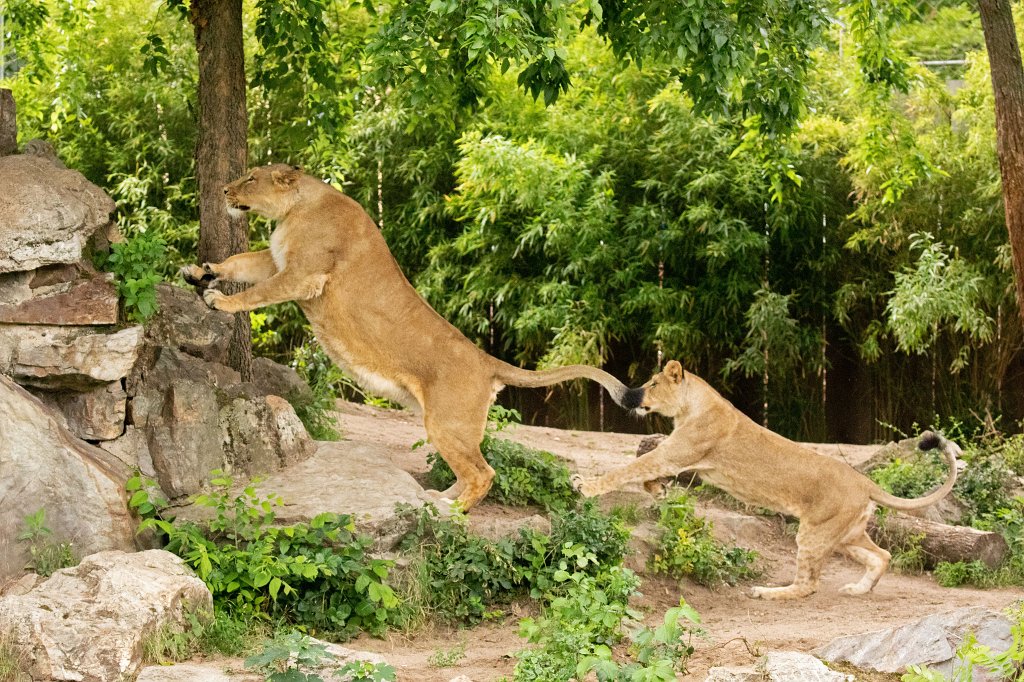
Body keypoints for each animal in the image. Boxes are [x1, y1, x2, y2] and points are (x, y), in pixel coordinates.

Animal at [180, 163, 632, 510]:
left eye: (250, 178)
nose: (223, 190)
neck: (296, 208)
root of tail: (487, 360)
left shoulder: (302, 274)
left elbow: (256, 292)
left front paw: (220, 301)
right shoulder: (277, 261)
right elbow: (238, 262)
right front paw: (200, 271)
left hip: (448, 423)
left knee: (484, 472)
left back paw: (452, 511)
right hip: (448, 426)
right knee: (470, 469)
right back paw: (440, 497)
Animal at [573, 360, 960, 600]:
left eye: (653, 383)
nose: (634, 397)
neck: (690, 406)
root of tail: (864, 482)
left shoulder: (678, 452)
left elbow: (629, 468)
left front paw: (585, 486)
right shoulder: (682, 457)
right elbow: (649, 470)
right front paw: (658, 489)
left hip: (815, 532)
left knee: (809, 584)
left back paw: (768, 592)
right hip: (845, 533)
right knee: (882, 555)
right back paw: (858, 589)